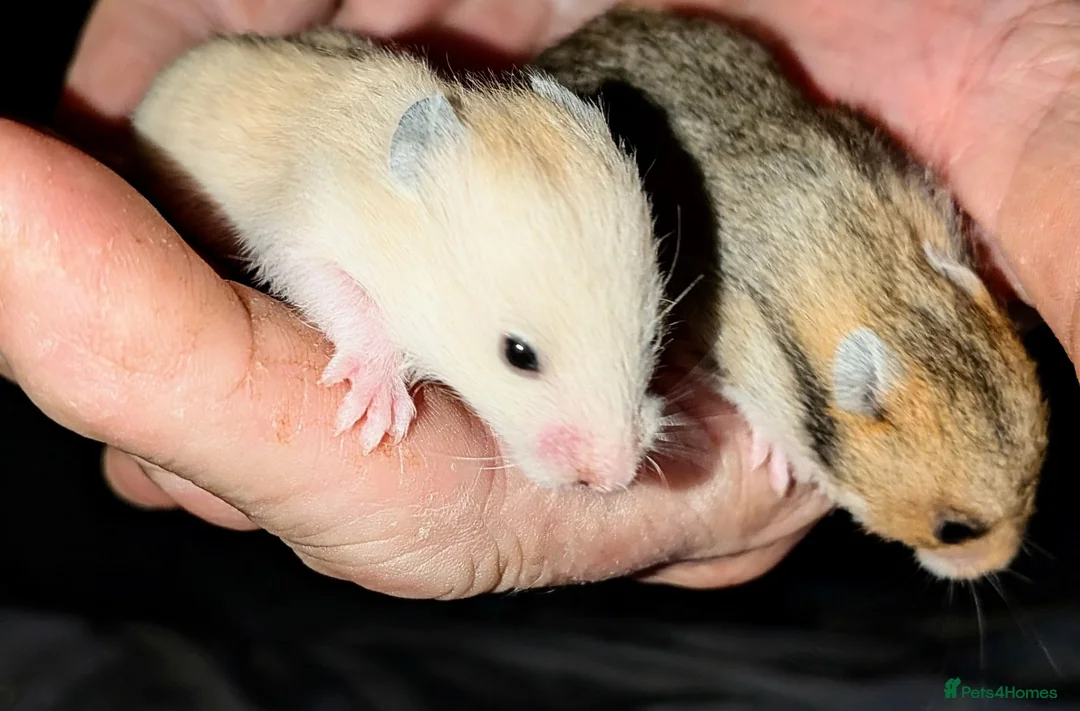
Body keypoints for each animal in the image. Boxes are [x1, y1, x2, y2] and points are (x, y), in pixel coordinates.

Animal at [131, 28, 667, 492]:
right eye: (518, 355)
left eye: (651, 339)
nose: (616, 480)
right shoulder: (305, 235)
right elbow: (348, 299)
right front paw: (378, 417)